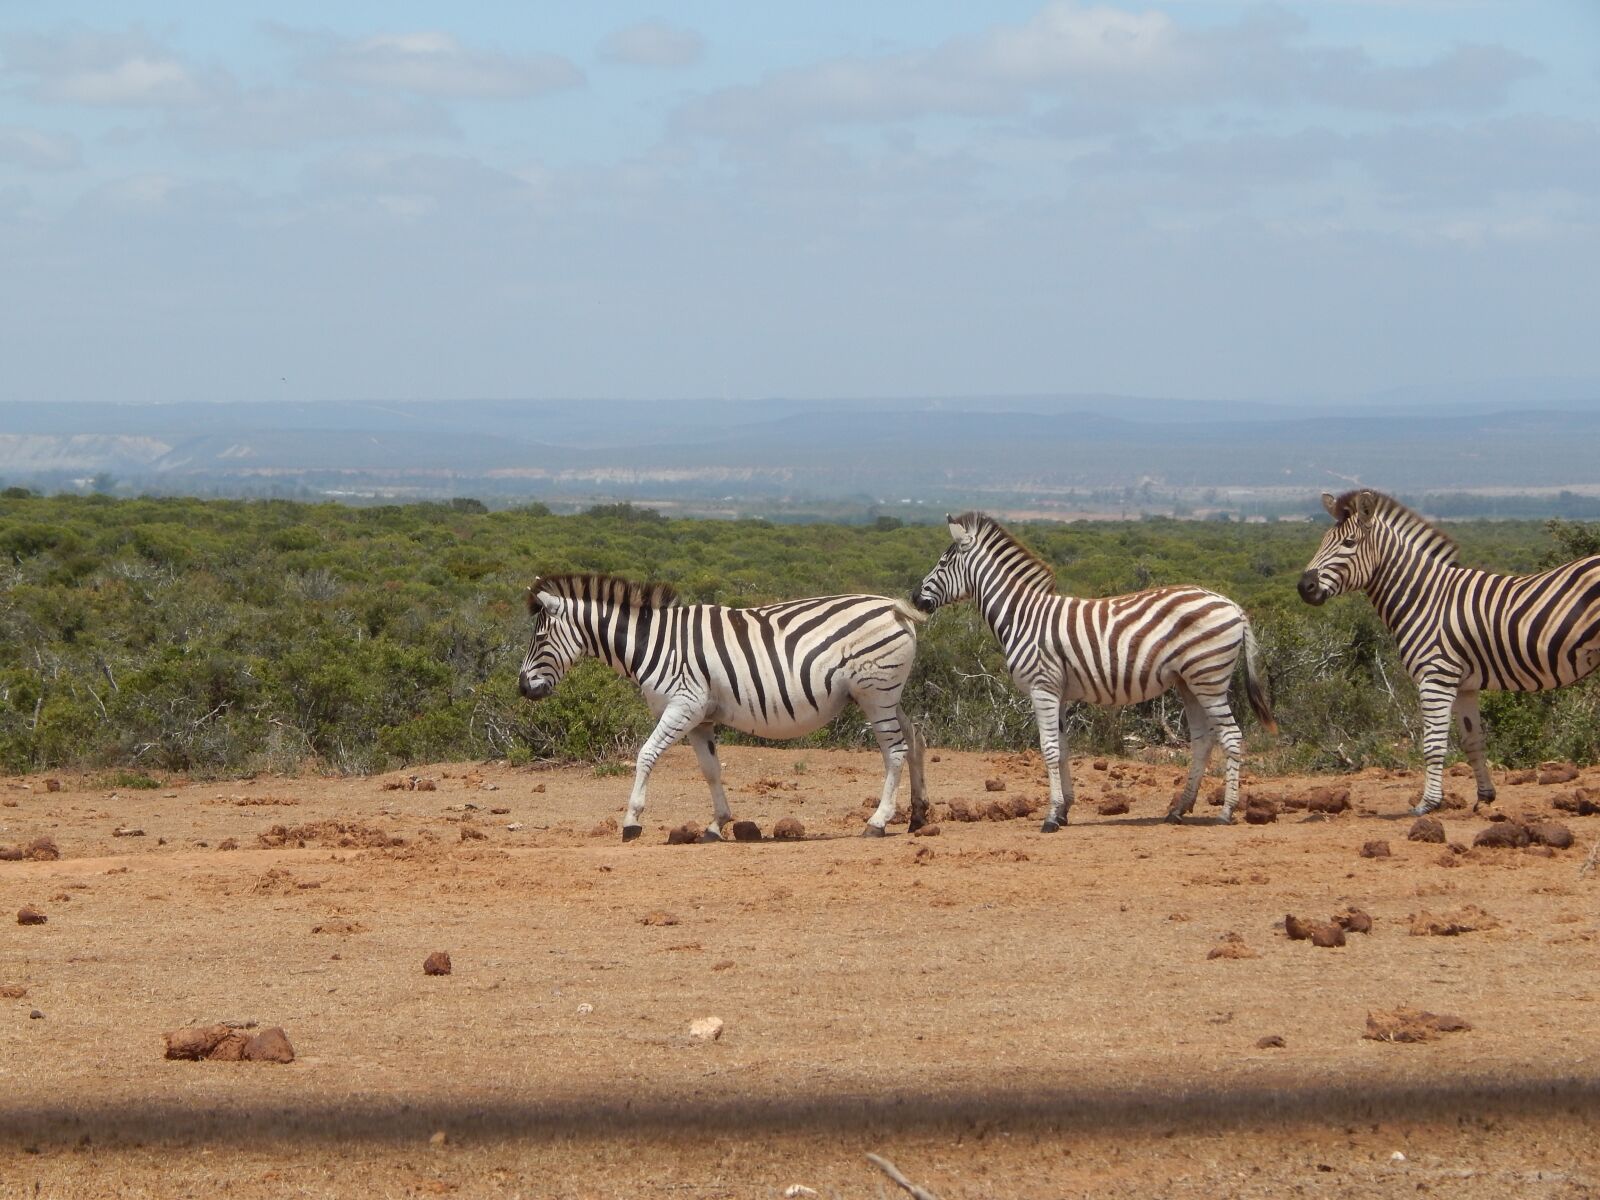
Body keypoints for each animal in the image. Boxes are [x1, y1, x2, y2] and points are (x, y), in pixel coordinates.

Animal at [518, 574, 929, 840]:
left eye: (540, 637)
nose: (523, 688)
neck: (653, 642)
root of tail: (894, 608)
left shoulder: (683, 705)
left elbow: (646, 755)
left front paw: (632, 821)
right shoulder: (699, 718)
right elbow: (711, 770)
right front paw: (716, 824)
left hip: (875, 692)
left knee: (894, 750)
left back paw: (878, 822)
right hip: (885, 694)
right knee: (914, 738)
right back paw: (919, 815)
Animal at [913, 513, 1275, 829]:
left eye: (942, 564)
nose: (915, 597)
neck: (1023, 616)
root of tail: (1233, 606)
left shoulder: (1042, 687)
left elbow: (1048, 749)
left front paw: (1050, 817)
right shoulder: (1057, 692)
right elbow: (1062, 749)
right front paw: (1063, 811)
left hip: (1208, 677)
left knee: (1231, 736)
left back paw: (1226, 812)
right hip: (1189, 682)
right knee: (1202, 740)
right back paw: (1178, 810)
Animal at [1298, 488, 1600, 815]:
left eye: (1349, 543)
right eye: (1323, 540)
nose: (1304, 587)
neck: (1426, 598)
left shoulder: (1435, 678)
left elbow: (1433, 745)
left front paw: (1427, 803)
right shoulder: (1464, 684)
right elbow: (1472, 741)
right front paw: (1485, 797)